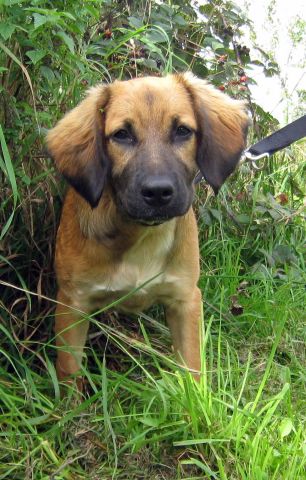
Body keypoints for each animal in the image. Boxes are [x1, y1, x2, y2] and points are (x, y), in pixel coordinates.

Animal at [47, 73, 249, 384]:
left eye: (182, 131)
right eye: (121, 135)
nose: (157, 192)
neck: (142, 235)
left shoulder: (185, 299)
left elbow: (192, 369)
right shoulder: (73, 304)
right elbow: (69, 373)